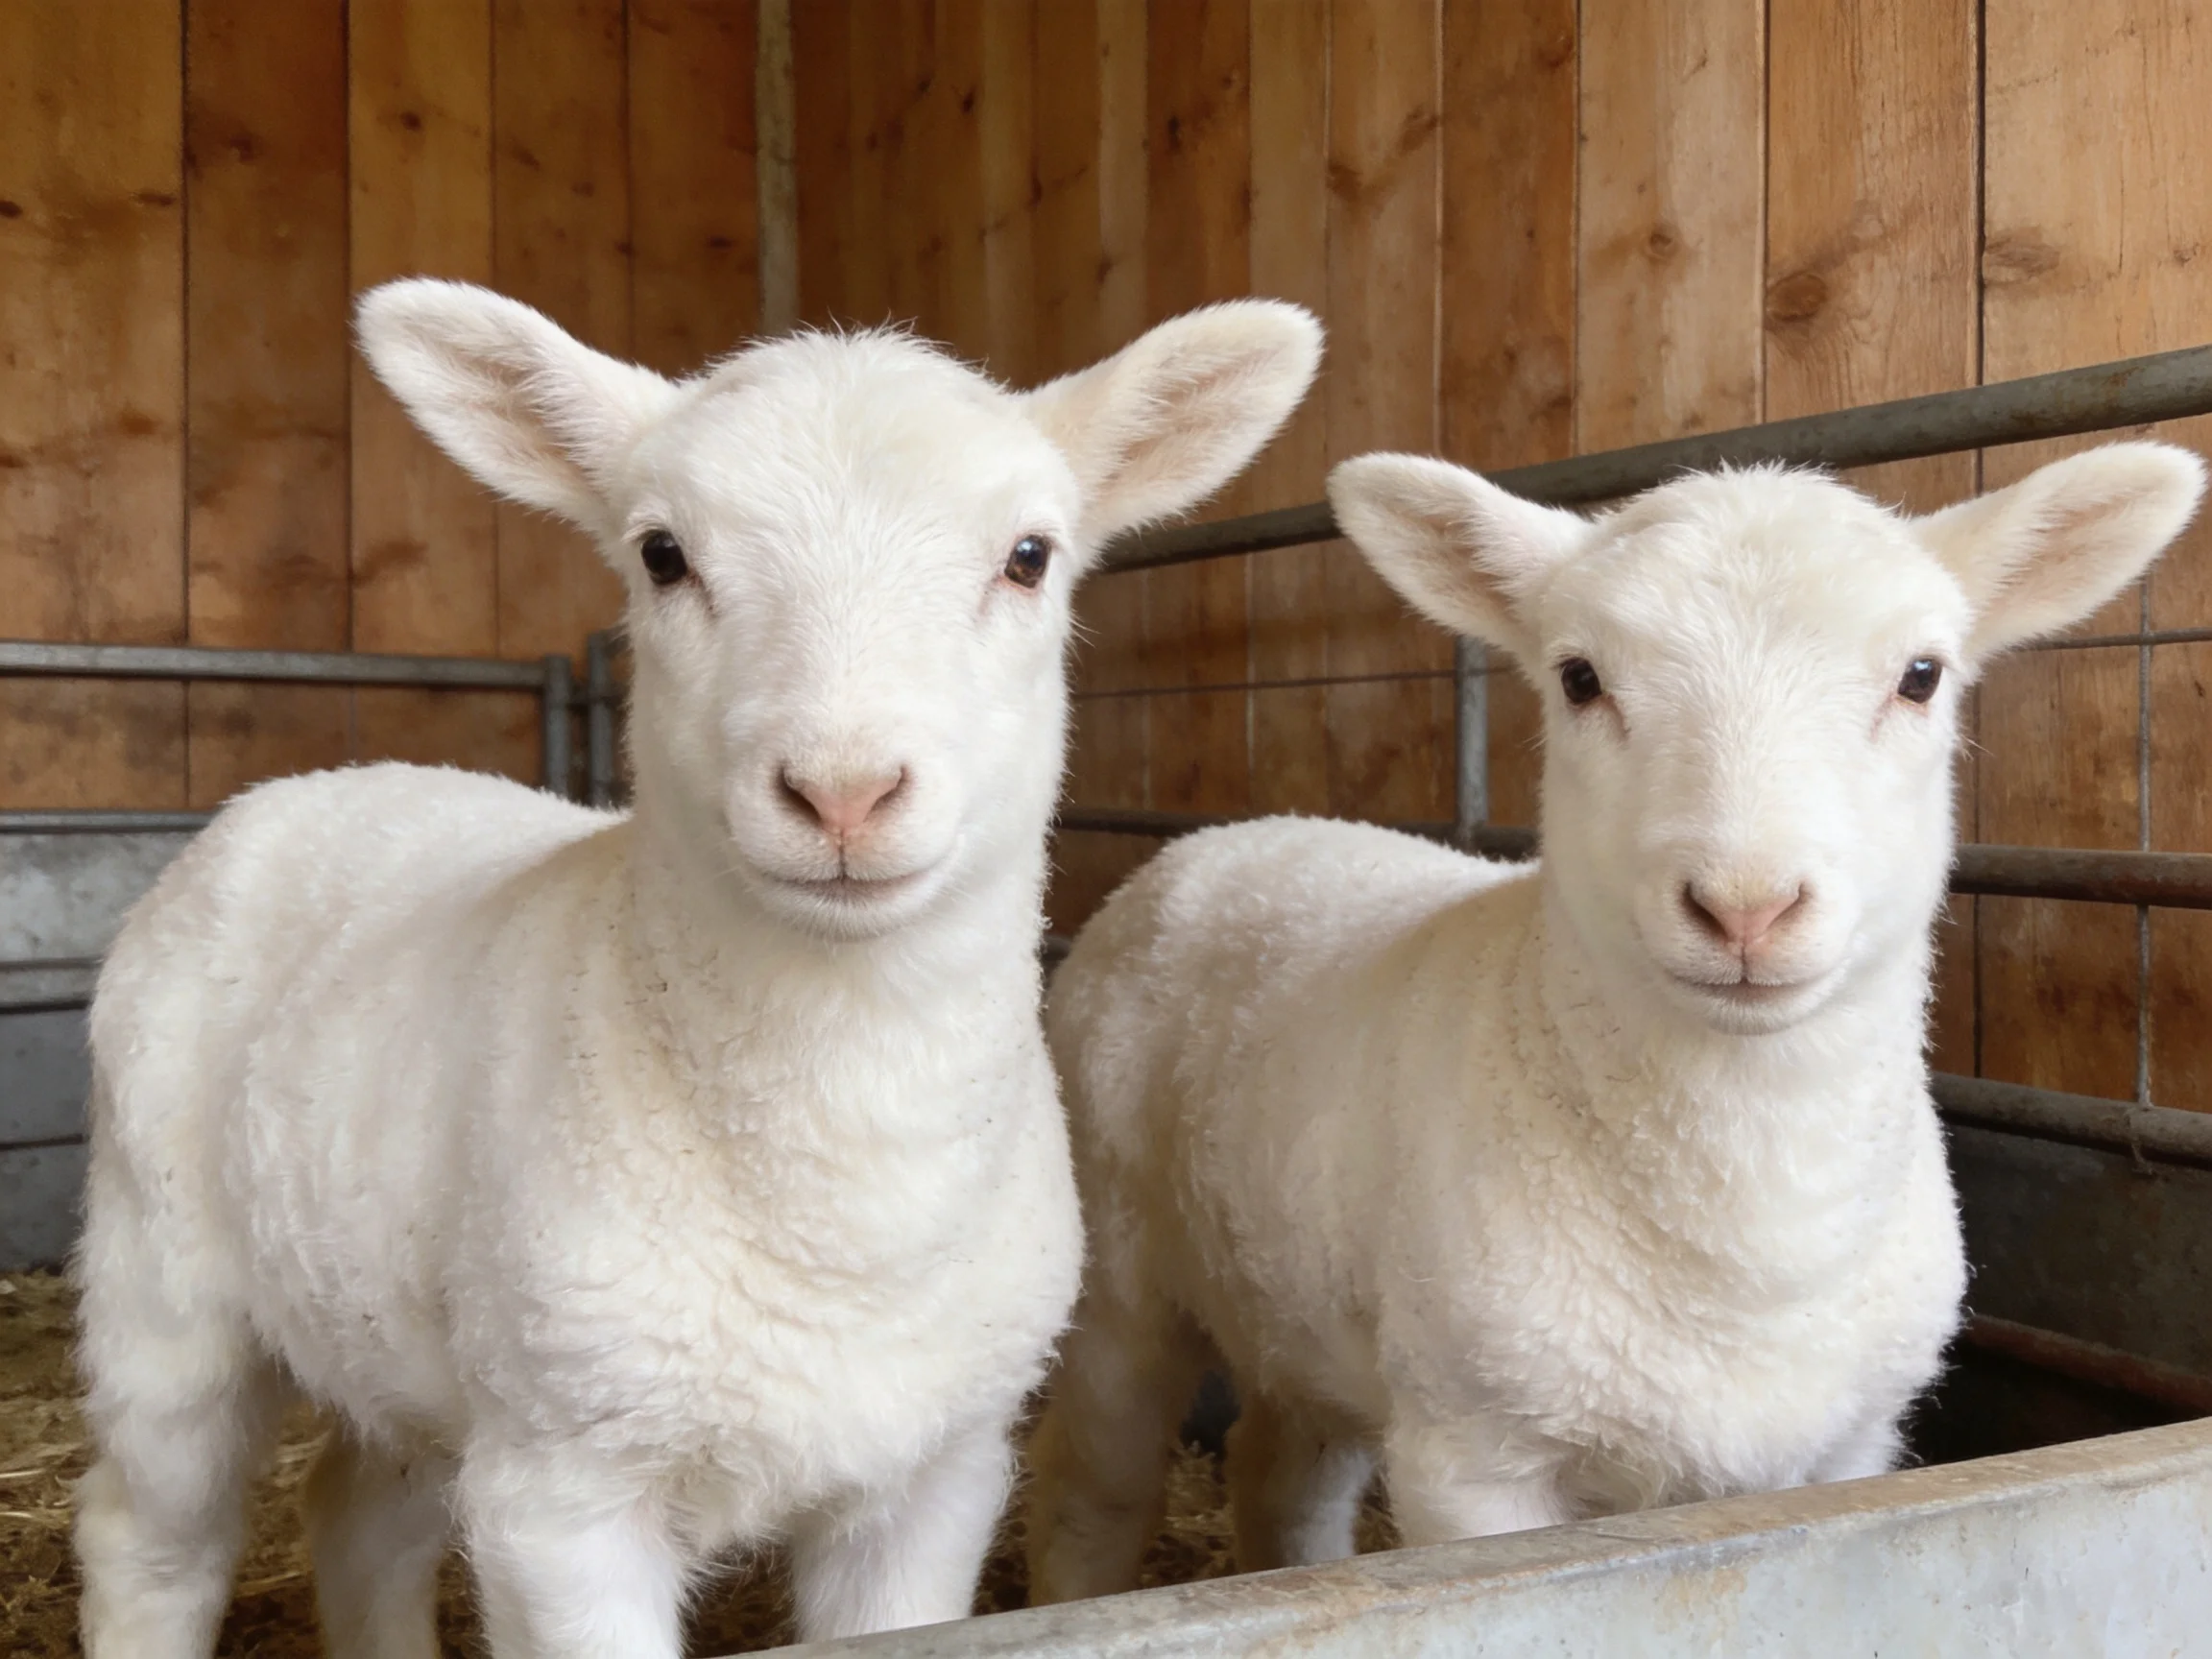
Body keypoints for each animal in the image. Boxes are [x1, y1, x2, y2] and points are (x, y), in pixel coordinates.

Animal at [71, 279, 1321, 1659]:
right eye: (663, 554)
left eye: (1030, 556)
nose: (843, 790)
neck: (840, 1199)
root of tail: (303, 787)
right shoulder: (561, 1494)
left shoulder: (935, 1476)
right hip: (161, 1270)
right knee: (152, 1538)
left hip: (402, 1339)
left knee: (358, 1522)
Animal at [1026, 440, 2208, 1601]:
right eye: (1580, 677)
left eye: (1921, 676)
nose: (1746, 906)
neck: (1750, 1240)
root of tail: (1227, 835)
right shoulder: (1473, 1459)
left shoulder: (1847, 1450)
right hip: (1118, 1283)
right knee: (1092, 1493)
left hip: (1302, 1309)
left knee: (1282, 1472)